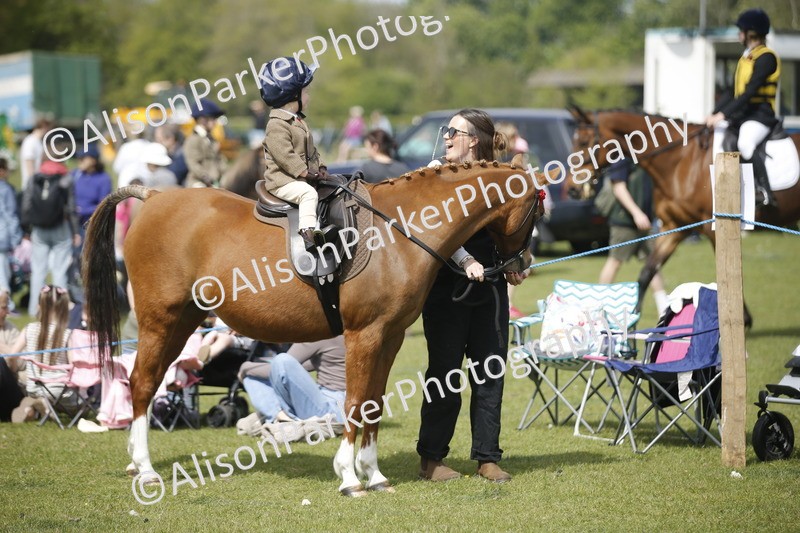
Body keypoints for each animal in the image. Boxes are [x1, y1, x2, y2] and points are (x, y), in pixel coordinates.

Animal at [82, 155, 545, 496]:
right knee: (143, 383)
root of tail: (153, 197)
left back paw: (135, 461)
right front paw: (349, 477)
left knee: (147, 383)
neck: (399, 229)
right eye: (537, 208)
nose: (521, 266)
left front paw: (374, 475)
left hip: (183, 323)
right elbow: (355, 404)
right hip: (160, 321)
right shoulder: (365, 334)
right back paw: (145, 470)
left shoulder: (390, 337)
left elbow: (373, 404)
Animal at [568, 107, 800, 325]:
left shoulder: (713, 228)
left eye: (584, 142)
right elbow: (647, 272)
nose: (571, 189)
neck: (680, 161)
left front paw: (740, 318)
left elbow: (727, 274)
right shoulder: (674, 227)